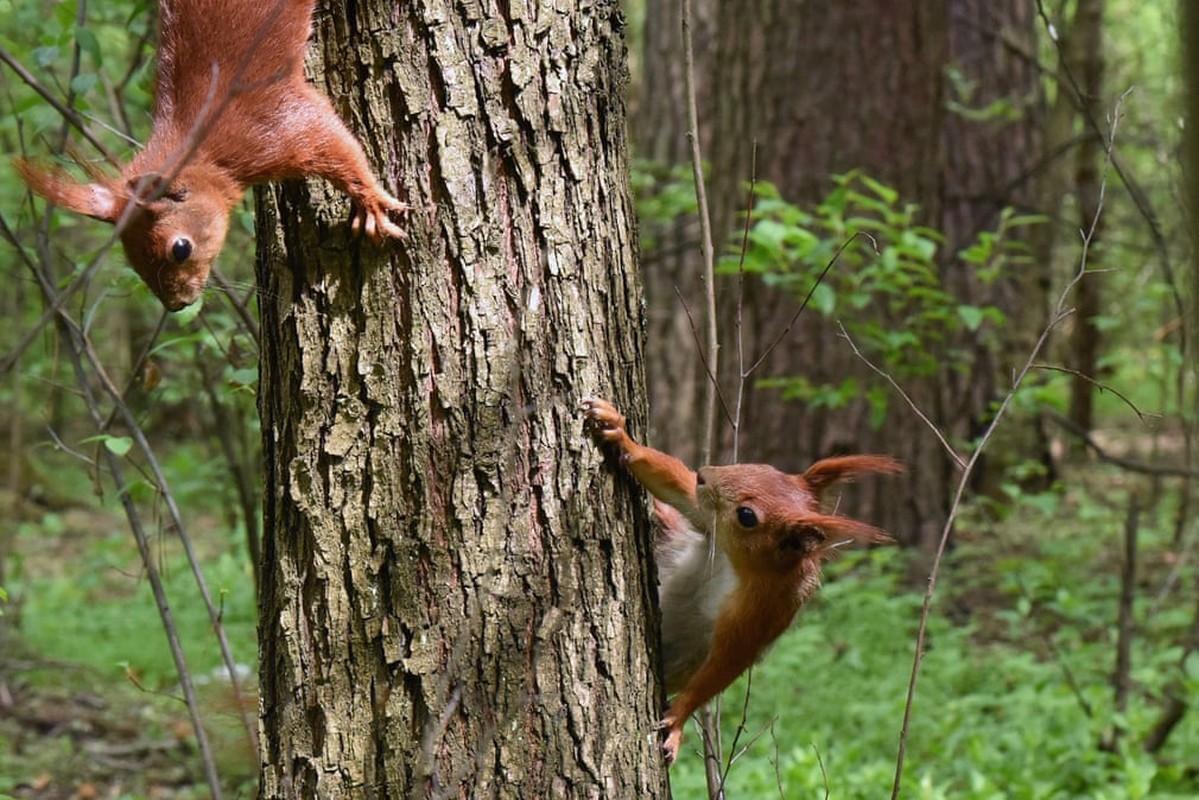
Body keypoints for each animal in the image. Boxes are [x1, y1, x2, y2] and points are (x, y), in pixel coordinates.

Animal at [15, 0, 407, 311]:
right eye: (131, 257)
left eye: (180, 248)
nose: (176, 306)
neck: (200, 152)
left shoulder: (273, 124)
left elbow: (336, 145)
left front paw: (371, 203)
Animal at [580, 398, 901, 762]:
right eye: (761, 467)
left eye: (747, 516)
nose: (704, 475)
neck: (737, 564)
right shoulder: (706, 521)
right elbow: (679, 489)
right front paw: (619, 432)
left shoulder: (760, 614)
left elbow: (724, 665)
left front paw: (677, 721)